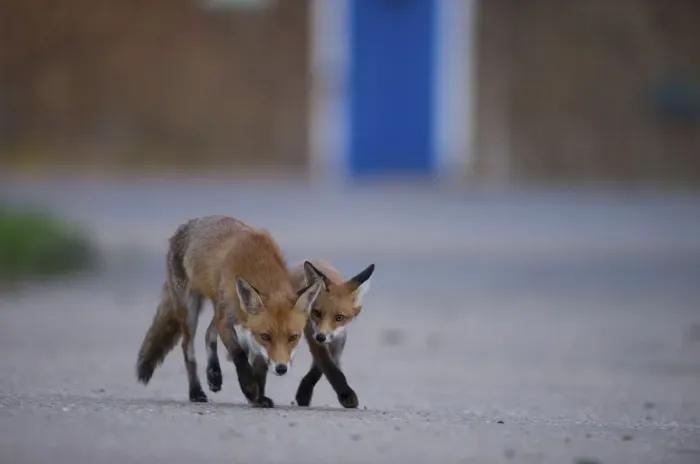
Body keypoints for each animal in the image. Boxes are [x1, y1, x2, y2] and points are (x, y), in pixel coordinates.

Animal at [135, 215, 326, 408]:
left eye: (293, 337)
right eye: (266, 336)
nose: (281, 368)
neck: (259, 265)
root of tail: (185, 225)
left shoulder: (244, 326)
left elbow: (260, 365)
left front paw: (259, 397)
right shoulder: (227, 322)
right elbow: (239, 354)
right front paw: (250, 388)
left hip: (217, 306)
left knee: (208, 333)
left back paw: (214, 374)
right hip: (191, 308)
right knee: (188, 349)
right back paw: (196, 392)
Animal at [204, 259, 375, 409]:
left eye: (339, 317)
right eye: (316, 313)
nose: (321, 336)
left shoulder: (338, 337)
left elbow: (323, 367)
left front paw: (305, 391)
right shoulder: (309, 331)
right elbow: (328, 365)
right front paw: (345, 394)